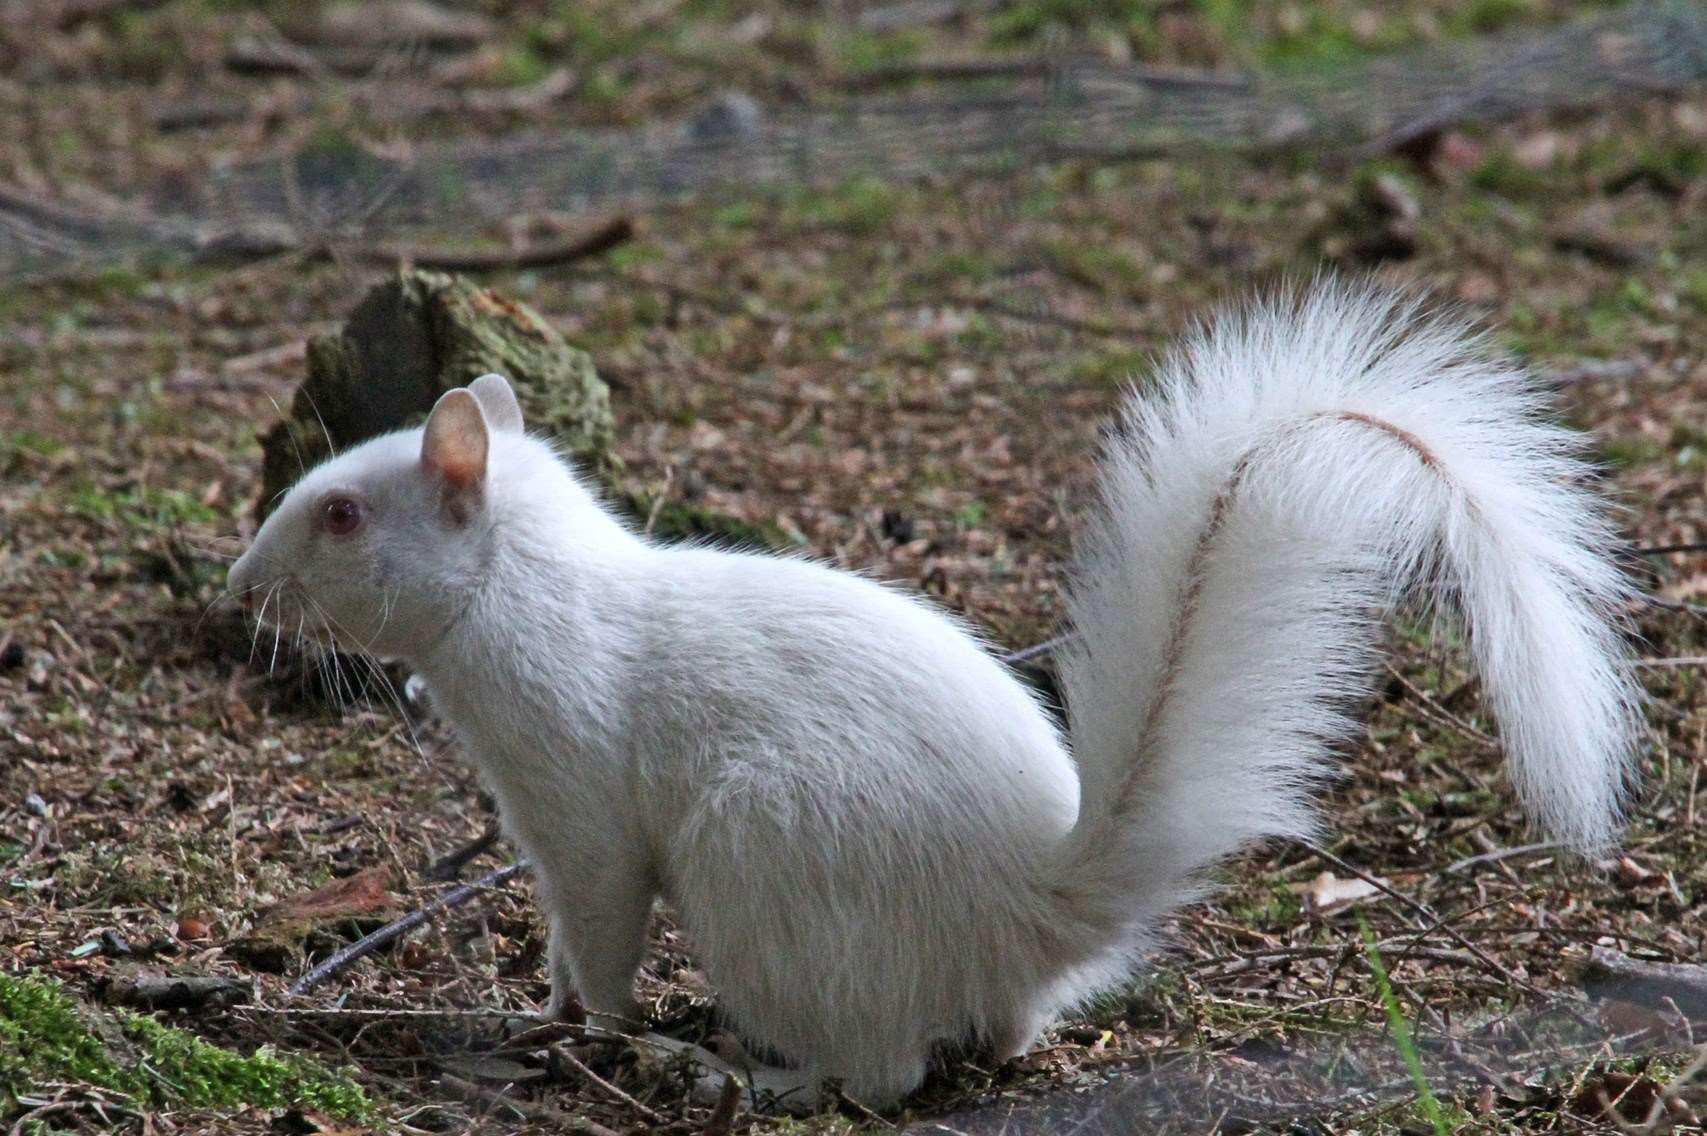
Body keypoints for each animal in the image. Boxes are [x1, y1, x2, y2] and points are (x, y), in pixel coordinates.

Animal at [227, 283, 1638, 1106]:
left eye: (343, 512)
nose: (242, 581)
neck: (523, 593)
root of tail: (1029, 901)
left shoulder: (579, 804)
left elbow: (606, 921)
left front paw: (595, 1028)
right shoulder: (533, 819)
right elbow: (565, 931)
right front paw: (551, 1008)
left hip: (763, 866)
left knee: (888, 1071)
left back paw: (749, 1070)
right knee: (997, 1040)